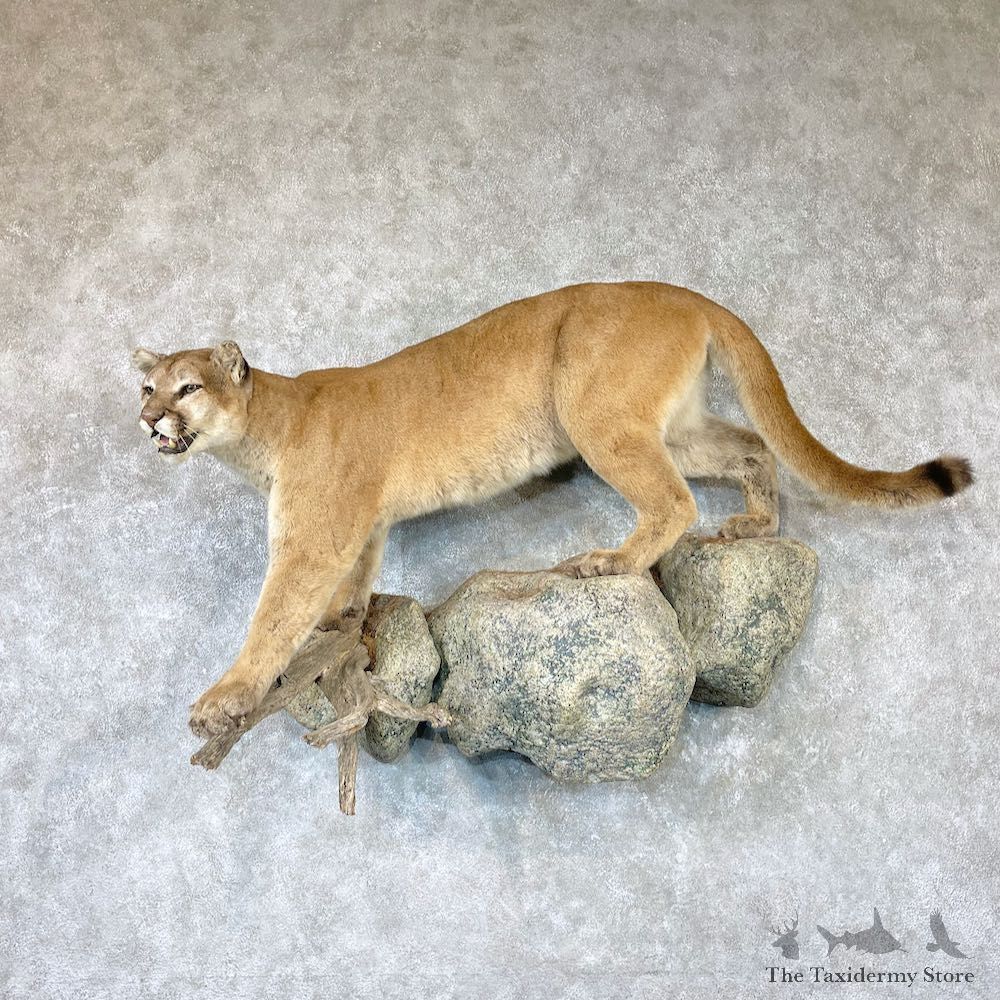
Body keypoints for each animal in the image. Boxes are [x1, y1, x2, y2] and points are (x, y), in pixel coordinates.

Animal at [131, 281, 972, 738]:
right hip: (669, 423)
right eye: (147, 385)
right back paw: (756, 524)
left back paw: (611, 561)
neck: (263, 431)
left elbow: (276, 610)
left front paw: (225, 699)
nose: (146, 419)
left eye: (189, 387)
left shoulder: (313, 535)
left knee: (675, 497)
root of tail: (683, 292)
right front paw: (345, 625)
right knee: (750, 446)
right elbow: (350, 586)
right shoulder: (361, 526)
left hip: (595, 414)